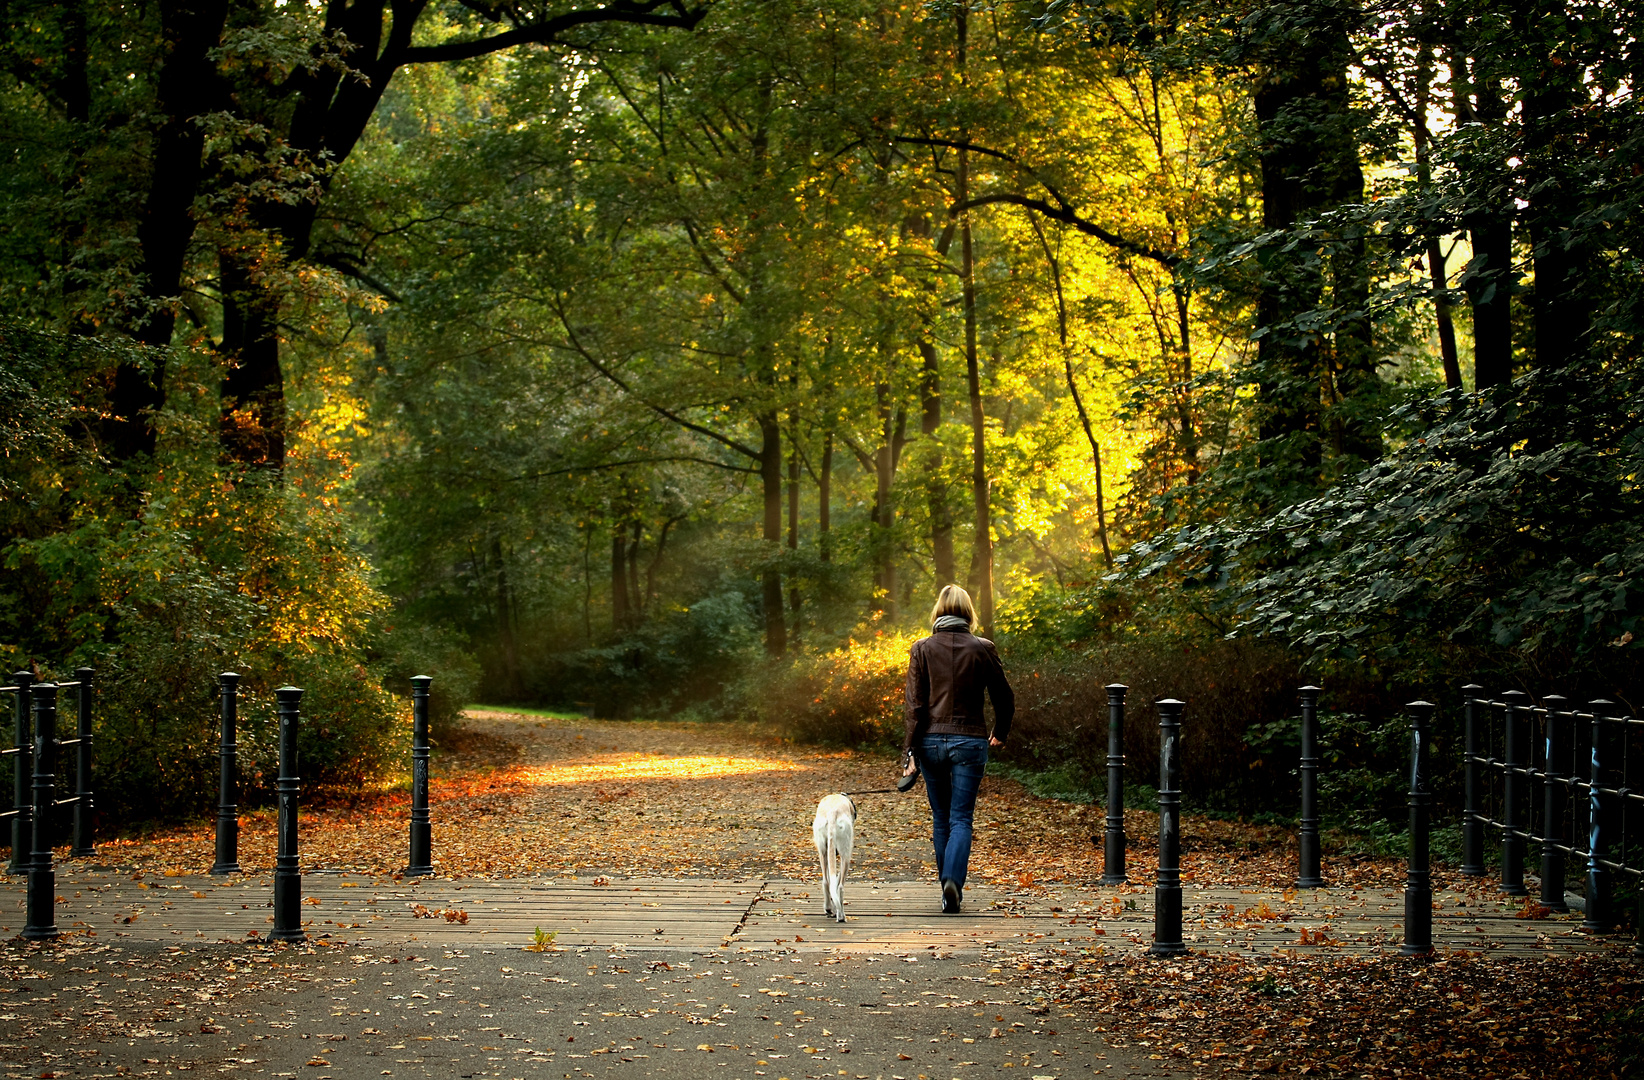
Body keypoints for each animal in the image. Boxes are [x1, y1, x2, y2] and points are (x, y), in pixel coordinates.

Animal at [812, 789, 854, 920]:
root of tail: (832, 811)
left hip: (822, 852)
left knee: (826, 882)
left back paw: (828, 908)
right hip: (846, 854)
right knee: (840, 887)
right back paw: (841, 916)